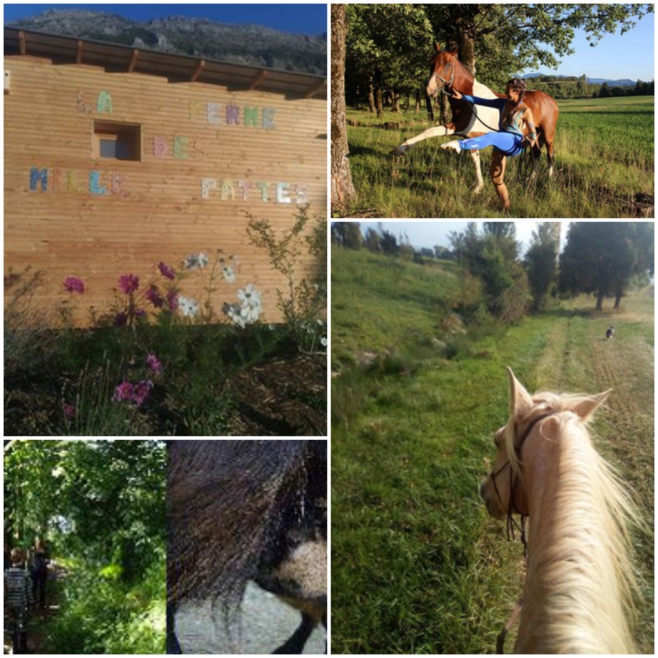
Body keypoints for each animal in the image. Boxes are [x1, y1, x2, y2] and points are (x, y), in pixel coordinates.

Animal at [392, 45, 559, 194]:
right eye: (431, 62)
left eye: (447, 64)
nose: (430, 90)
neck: (468, 101)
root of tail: (550, 99)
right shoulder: (459, 127)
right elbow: (432, 131)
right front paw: (400, 149)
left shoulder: (469, 131)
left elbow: (474, 157)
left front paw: (478, 187)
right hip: (534, 135)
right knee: (536, 154)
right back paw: (530, 180)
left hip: (547, 135)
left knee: (550, 155)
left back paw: (549, 180)